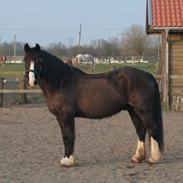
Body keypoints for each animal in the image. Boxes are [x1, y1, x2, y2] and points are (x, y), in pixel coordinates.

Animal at [23, 43, 164, 167]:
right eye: (25, 60)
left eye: (39, 61)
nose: (31, 81)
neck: (61, 82)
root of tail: (148, 75)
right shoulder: (59, 116)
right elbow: (64, 136)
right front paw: (66, 159)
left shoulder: (67, 115)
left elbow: (69, 136)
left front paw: (68, 161)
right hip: (133, 110)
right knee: (141, 130)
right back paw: (137, 157)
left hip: (143, 111)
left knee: (153, 129)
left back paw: (153, 159)